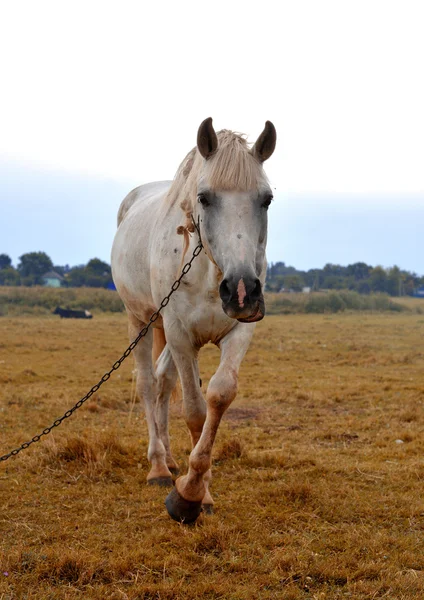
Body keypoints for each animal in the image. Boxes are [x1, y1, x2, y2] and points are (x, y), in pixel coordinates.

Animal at [110, 117, 274, 520]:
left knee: (163, 381)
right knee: (148, 385)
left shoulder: (238, 333)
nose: (242, 290)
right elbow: (195, 411)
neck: (209, 272)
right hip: (140, 322)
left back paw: (170, 461)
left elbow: (219, 395)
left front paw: (199, 486)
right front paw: (190, 494)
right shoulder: (181, 335)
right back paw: (157, 467)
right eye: (204, 197)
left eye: (266, 199)